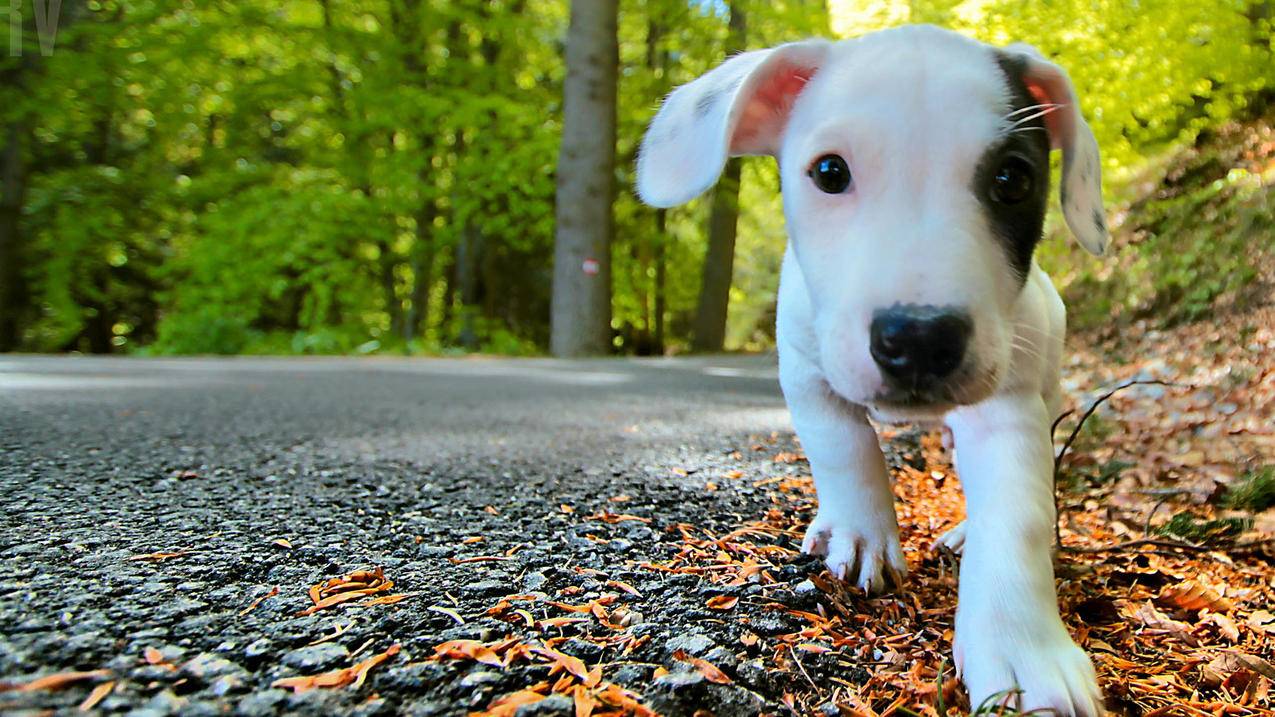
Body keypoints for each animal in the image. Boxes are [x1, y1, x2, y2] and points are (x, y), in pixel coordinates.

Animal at [637, 23, 1106, 714]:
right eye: (830, 171)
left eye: (1013, 180)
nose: (919, 338)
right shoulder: (805, 366)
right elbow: (842, 444)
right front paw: (861, 532)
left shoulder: (1008, 410)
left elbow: (1016, 513)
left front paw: (1022, 644)